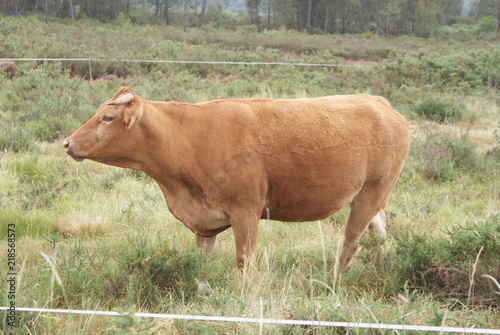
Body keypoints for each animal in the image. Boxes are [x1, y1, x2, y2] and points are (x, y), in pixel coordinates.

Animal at [64, 86, 410, 270]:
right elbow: (201, 261)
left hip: (371, 193)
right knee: (379, 234)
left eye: (107, 118)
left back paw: (335, 280)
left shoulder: (246, 212)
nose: (67, 143)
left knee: (352, 239)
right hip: (371, 199)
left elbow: (245, 260)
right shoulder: (205, 223)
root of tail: (379, 102)